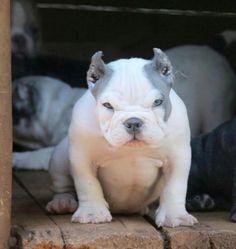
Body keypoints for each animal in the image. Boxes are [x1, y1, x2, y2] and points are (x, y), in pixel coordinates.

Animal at [46, 48, 197, 228]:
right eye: (107, 105)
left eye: (157, 102)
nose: (133, 122)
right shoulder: (81, 157)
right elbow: (88, 184)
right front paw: (92, 213)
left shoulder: (178, 157)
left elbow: (175, 186)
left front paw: (176, 216)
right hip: (60, 156)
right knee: (62, 184)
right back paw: (62, 202)